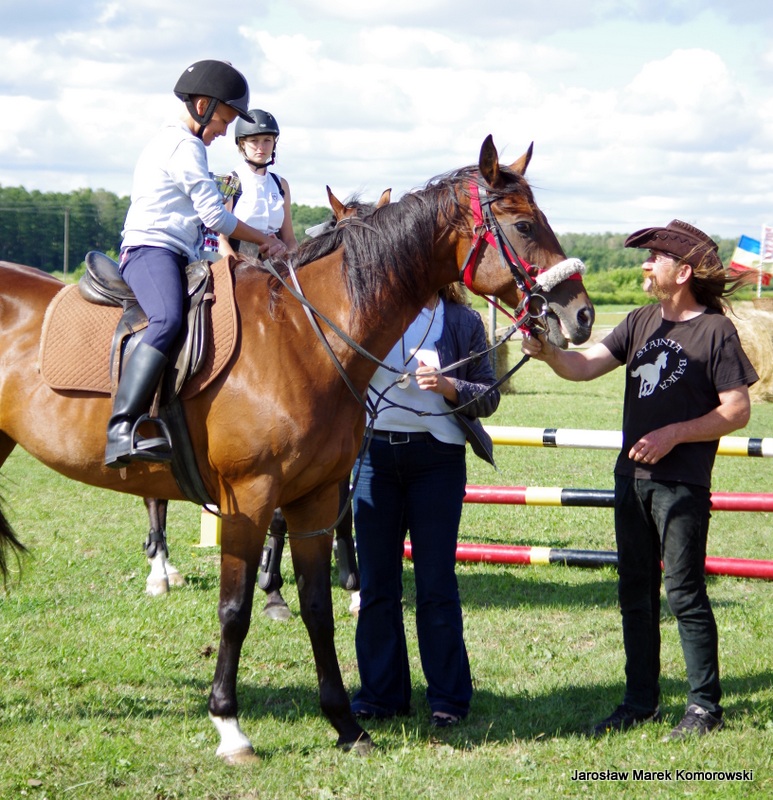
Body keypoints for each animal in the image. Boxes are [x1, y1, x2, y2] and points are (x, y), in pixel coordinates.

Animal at [0, 136, 594, 763]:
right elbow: (234, 611)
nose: (580, 315)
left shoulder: (315, 495)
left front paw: (346, 724)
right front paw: (230, 725)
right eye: (524, 225)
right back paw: (161, 573)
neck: (303, 334)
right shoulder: (250, 499)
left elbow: (319, 607)